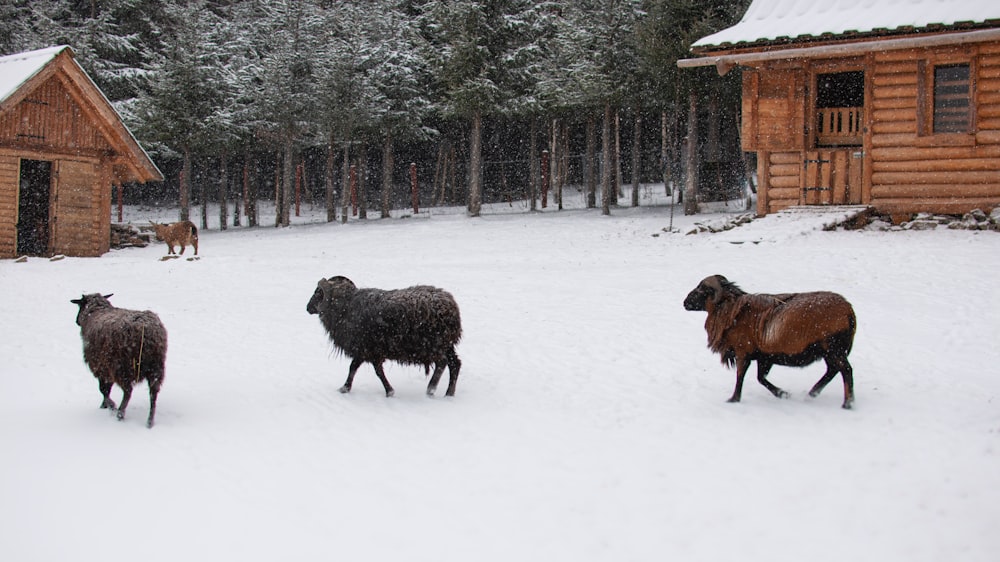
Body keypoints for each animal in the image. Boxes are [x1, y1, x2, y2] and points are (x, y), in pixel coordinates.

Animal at [69, 294, 166, 424]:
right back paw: (149, 421)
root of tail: (144, 330)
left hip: (121, 367)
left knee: (128, 391)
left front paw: (110, 406)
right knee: (153, 393)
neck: (96, 310)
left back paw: (120, 413)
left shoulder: (100, 367)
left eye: (80, 306)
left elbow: (103, 390)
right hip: (156, 367)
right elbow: (106, 389)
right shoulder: (105, 369)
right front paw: (105, 405)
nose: (76, 321)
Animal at [306, 274, 462, 396]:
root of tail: (451, 307)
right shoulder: (365, 350)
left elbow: (374, 371)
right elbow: (355, 368)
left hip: (432, 345)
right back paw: (449, 393)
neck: (345, 307)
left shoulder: (369, 349)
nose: (307, 307)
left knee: (442, 363)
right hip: (446, 344)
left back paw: (431, 389)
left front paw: (389, 391)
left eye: (318, 292)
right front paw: (345, 388)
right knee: (455, 363)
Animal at [684, 272, 856, 406]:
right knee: (832, 370)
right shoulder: (764, 357)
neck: (731, 312)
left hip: (834, 348)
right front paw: (782, 394)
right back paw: (811, 394)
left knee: (845, 370)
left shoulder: (743, 352)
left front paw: (733, 399)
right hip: (829, 351)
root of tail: (849, 311)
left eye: (702, 289)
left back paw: (847, 403)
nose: (685, 302)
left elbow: (741, 376)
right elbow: (761, 378)